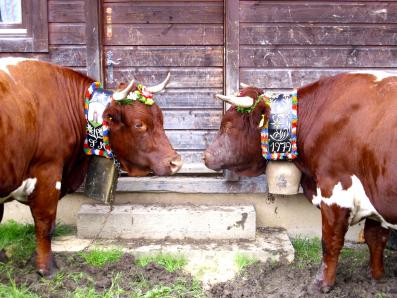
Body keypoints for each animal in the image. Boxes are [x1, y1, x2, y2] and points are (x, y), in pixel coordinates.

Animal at [0, 58, 181, 278]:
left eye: (161, 118)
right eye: (139, 124)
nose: (176, 162)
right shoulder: (48, 172)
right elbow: (45, 223)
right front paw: (47, 269)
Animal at [204, 73, 396, 294]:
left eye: (228, 125)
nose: (205, 156)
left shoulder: (334, 192)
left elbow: (330, 241)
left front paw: (321, 284)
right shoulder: (374, 198)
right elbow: (376, 238)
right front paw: (377, 278)